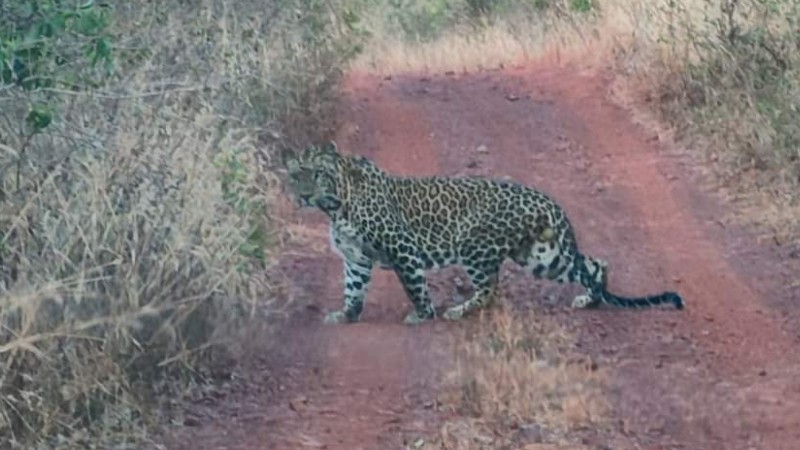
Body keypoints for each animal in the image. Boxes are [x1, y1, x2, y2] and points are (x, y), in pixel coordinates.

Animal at [282, 141, 684, 325]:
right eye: (295, 175)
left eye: (316, 174)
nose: (304, 195)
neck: (336, 205)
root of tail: (548, 200)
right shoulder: (356, 257)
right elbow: (352, 289)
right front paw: (345, 316)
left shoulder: (402, 247)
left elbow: (414, 284)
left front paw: (423, 314)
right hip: (541, 255)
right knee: (596, 264)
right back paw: (590, 299)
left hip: (475, 246)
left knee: (491, 290)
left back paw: (458, 310)